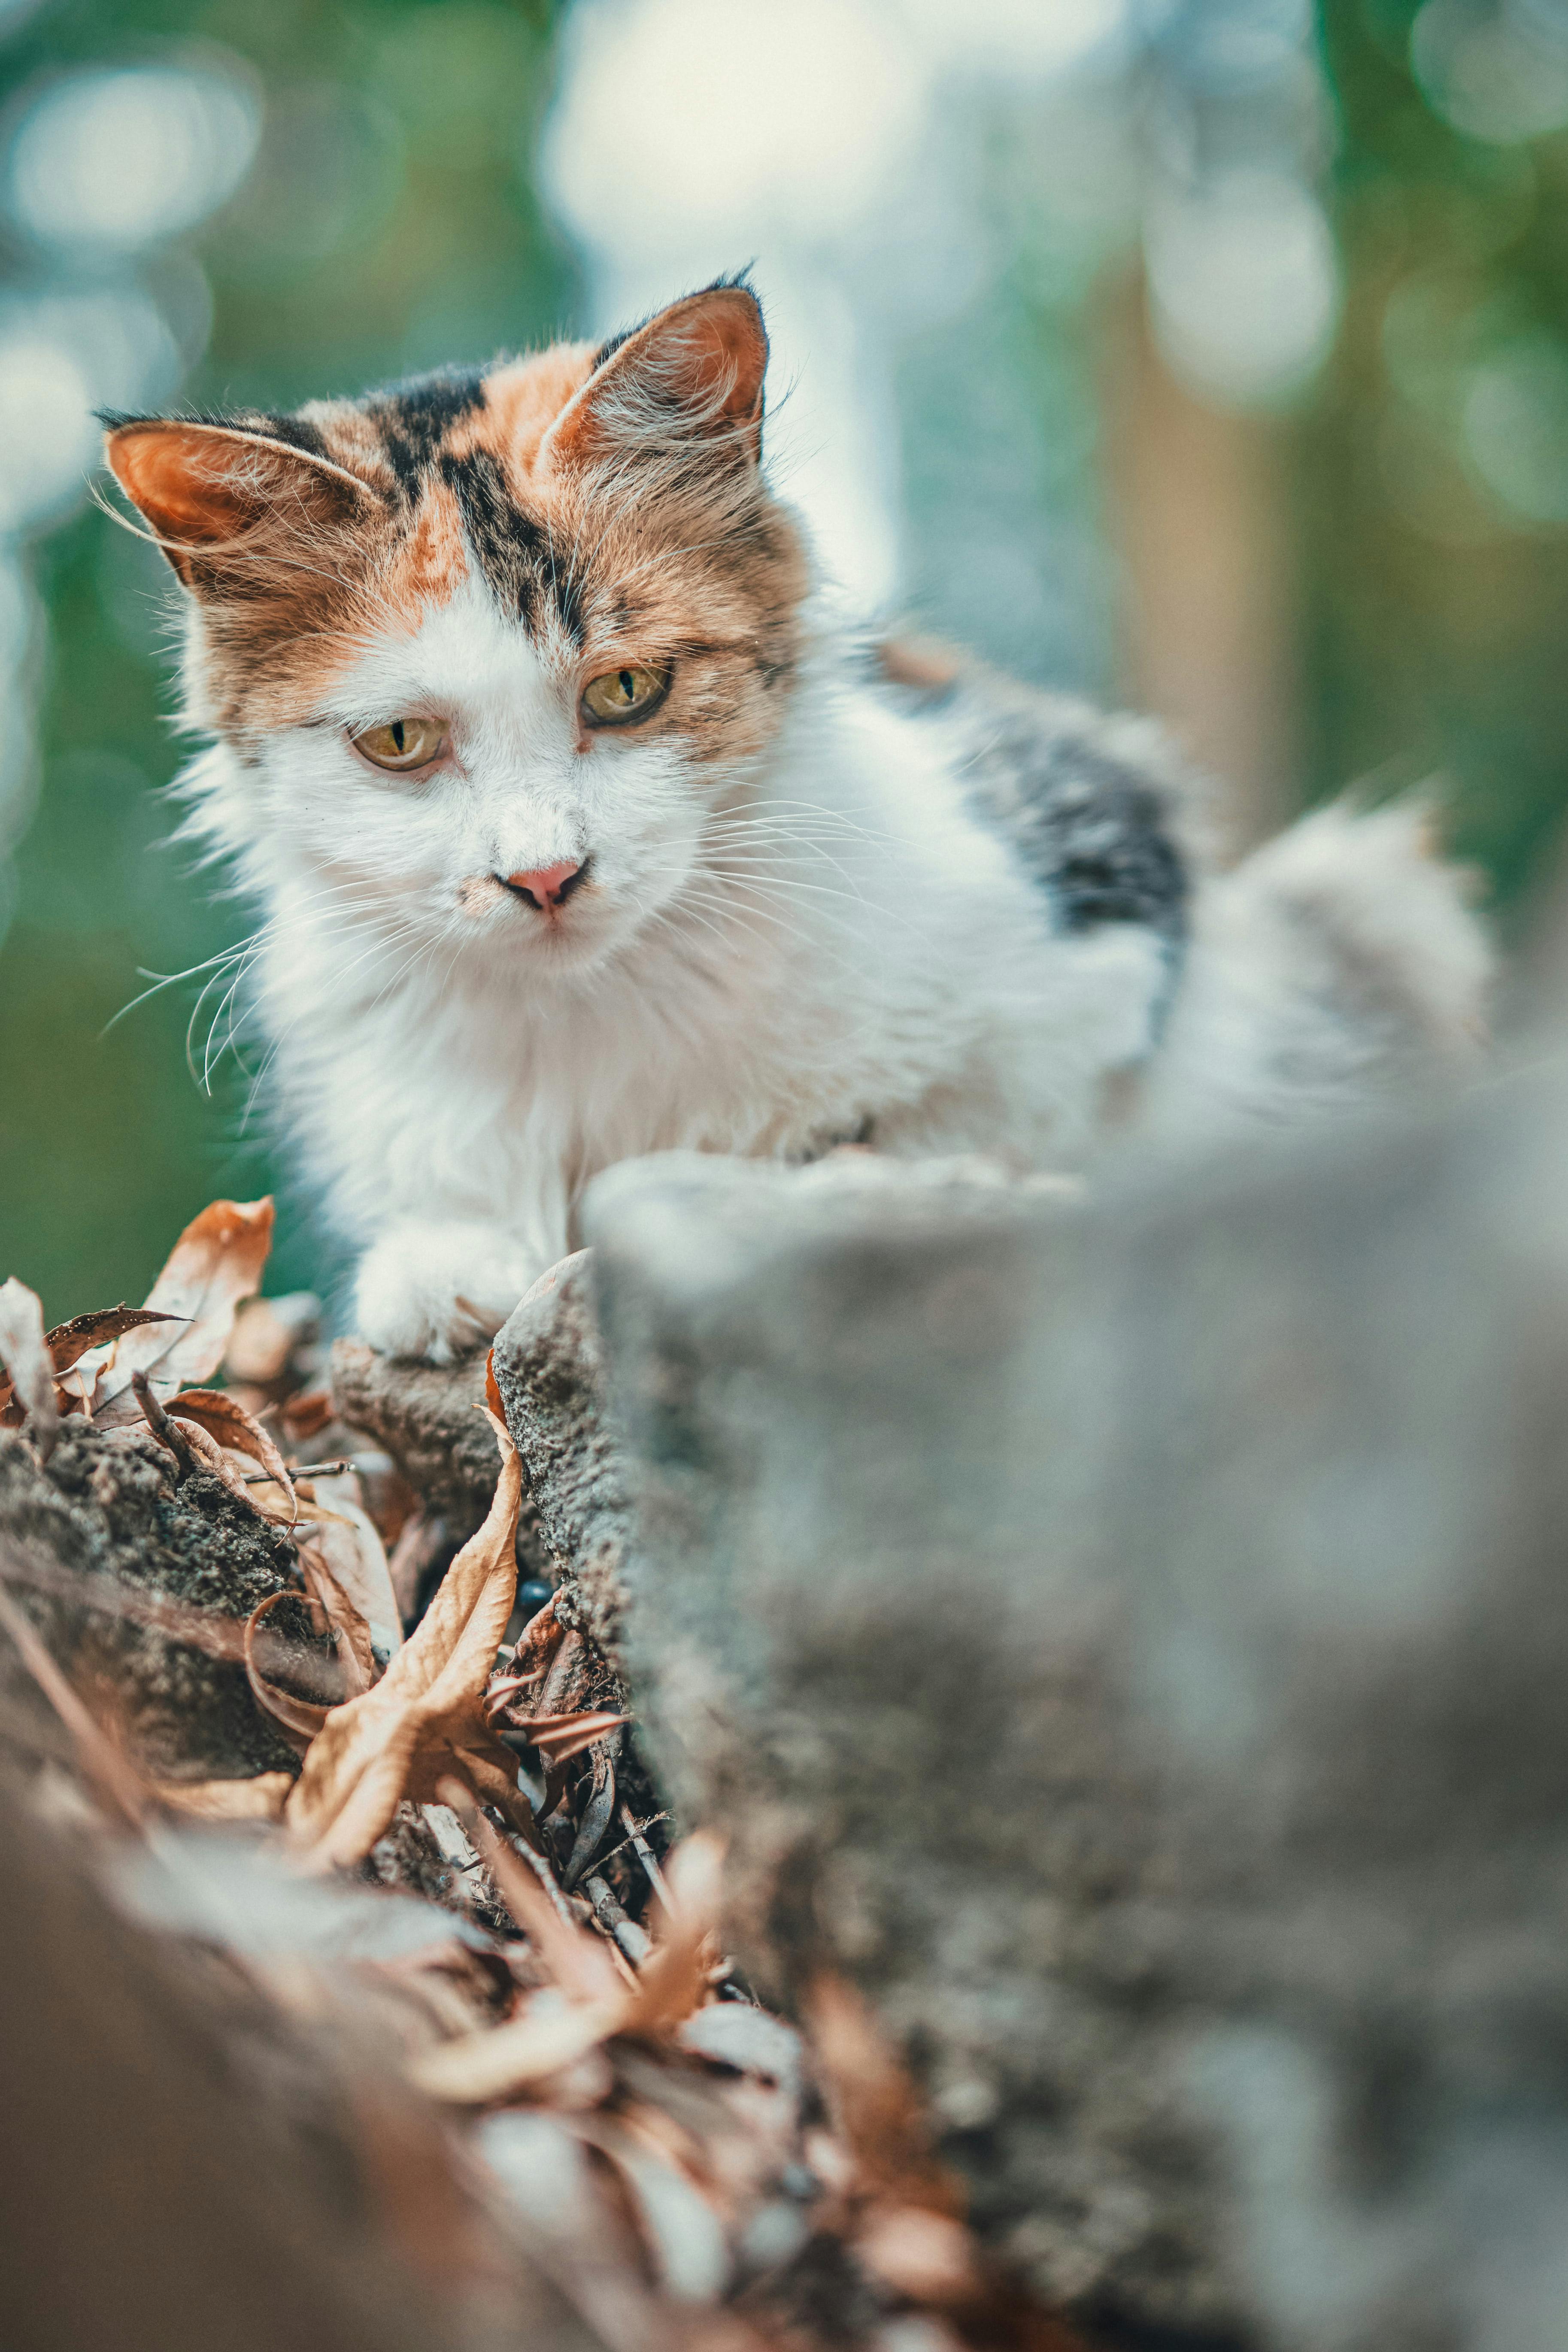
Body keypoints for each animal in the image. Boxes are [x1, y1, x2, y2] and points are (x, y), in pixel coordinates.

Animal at [104, 280, 1495, 1364]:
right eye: (400, 742)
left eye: (625, 689)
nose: (544, 877)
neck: (599, 1018)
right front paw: (447, 1265)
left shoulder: (1110, 886)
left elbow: (963, 1129)